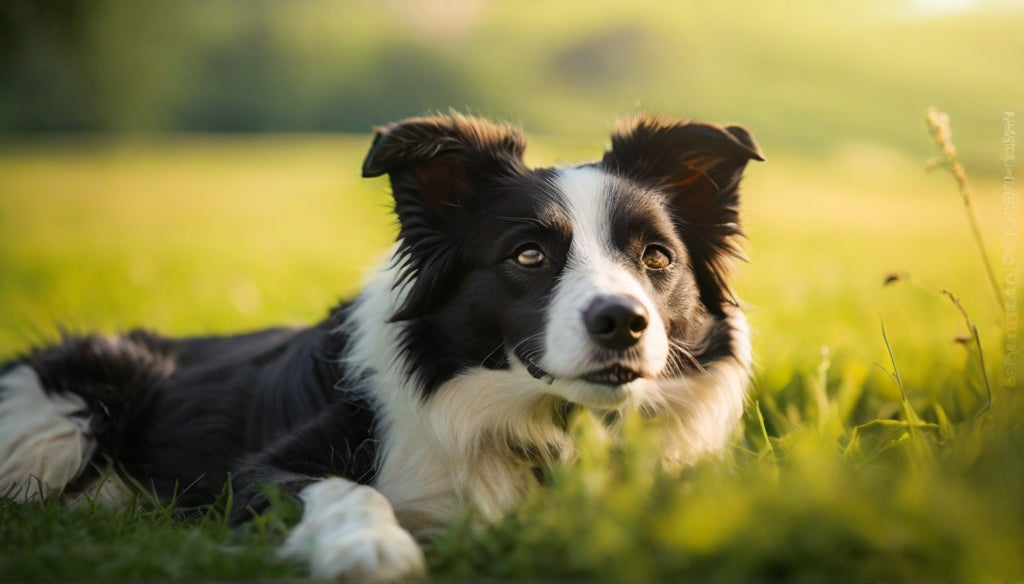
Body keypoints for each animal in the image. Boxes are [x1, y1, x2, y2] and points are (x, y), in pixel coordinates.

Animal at [0, 112, 761, 577]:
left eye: (656, 258)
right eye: (529, 255)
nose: (622, 321)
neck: (543, 423)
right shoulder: (261, 473)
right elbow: (342, 489)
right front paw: (372, 549)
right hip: (68, 411)